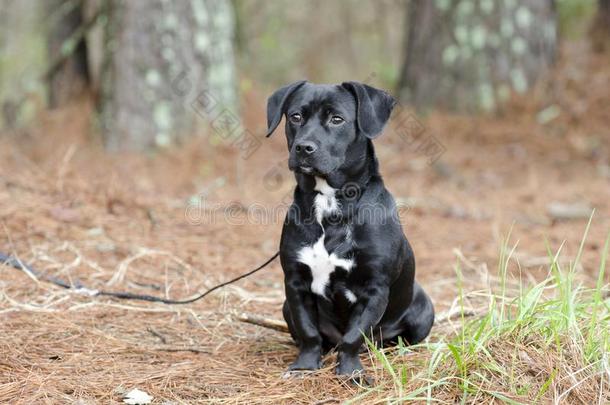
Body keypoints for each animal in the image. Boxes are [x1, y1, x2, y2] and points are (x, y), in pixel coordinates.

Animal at [266, 80, 432, 378]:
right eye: (295, 116)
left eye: (337, 119)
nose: (303, 147)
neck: (331, 205)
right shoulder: (295, 284)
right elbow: (308, 332)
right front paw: (305, 366)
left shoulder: (374, 289)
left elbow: (354, 336)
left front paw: (351, 372)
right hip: (285, 307)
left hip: (425, 309)